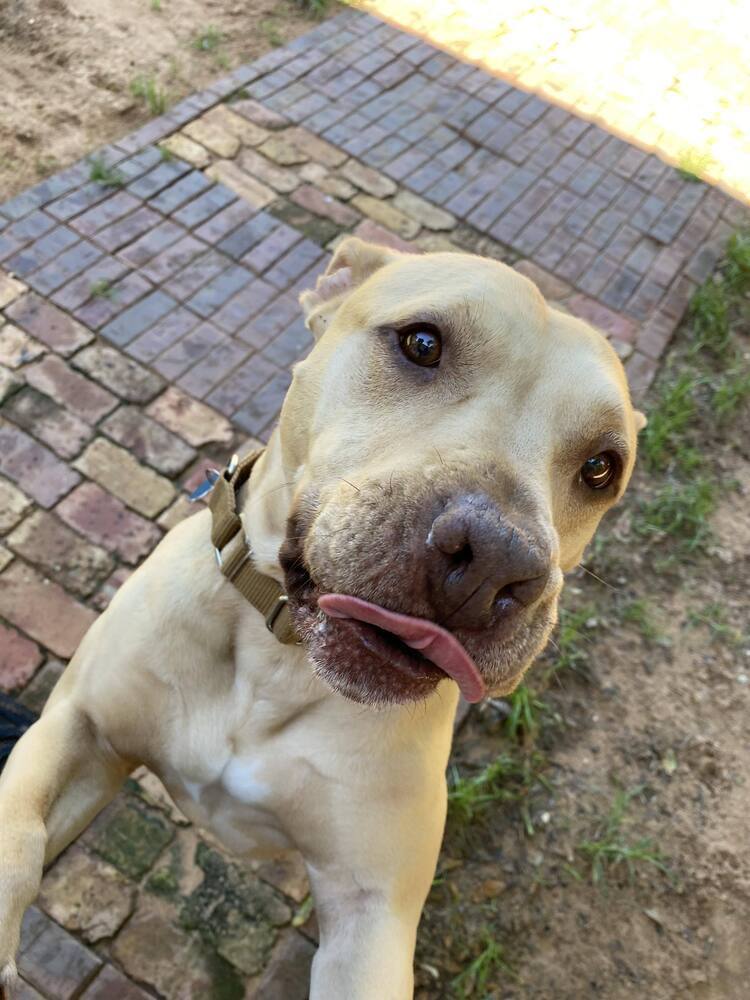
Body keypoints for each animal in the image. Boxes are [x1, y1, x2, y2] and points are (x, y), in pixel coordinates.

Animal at [0, 238, 648, 996]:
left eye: (601, 468)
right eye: (422, 343)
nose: (496, 560)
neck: (279, 662)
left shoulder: (372, 917)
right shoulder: (80, 730)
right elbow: (18, 831)